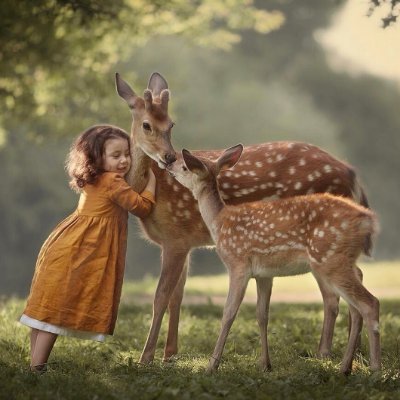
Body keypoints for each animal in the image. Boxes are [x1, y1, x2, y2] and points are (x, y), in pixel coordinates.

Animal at [166, 145, 382, 374]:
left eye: (185, 166)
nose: (169, 163)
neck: (219, 222)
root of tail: (367, 220)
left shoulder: (238, 263)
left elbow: (229, 313)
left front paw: (212, 364)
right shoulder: (264, 274)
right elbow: (262, 315)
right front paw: (265, 364)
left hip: (330, 258)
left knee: (369, 303)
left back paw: (375, 369)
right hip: (338, 260)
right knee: (357, 302)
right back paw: (345, 367)